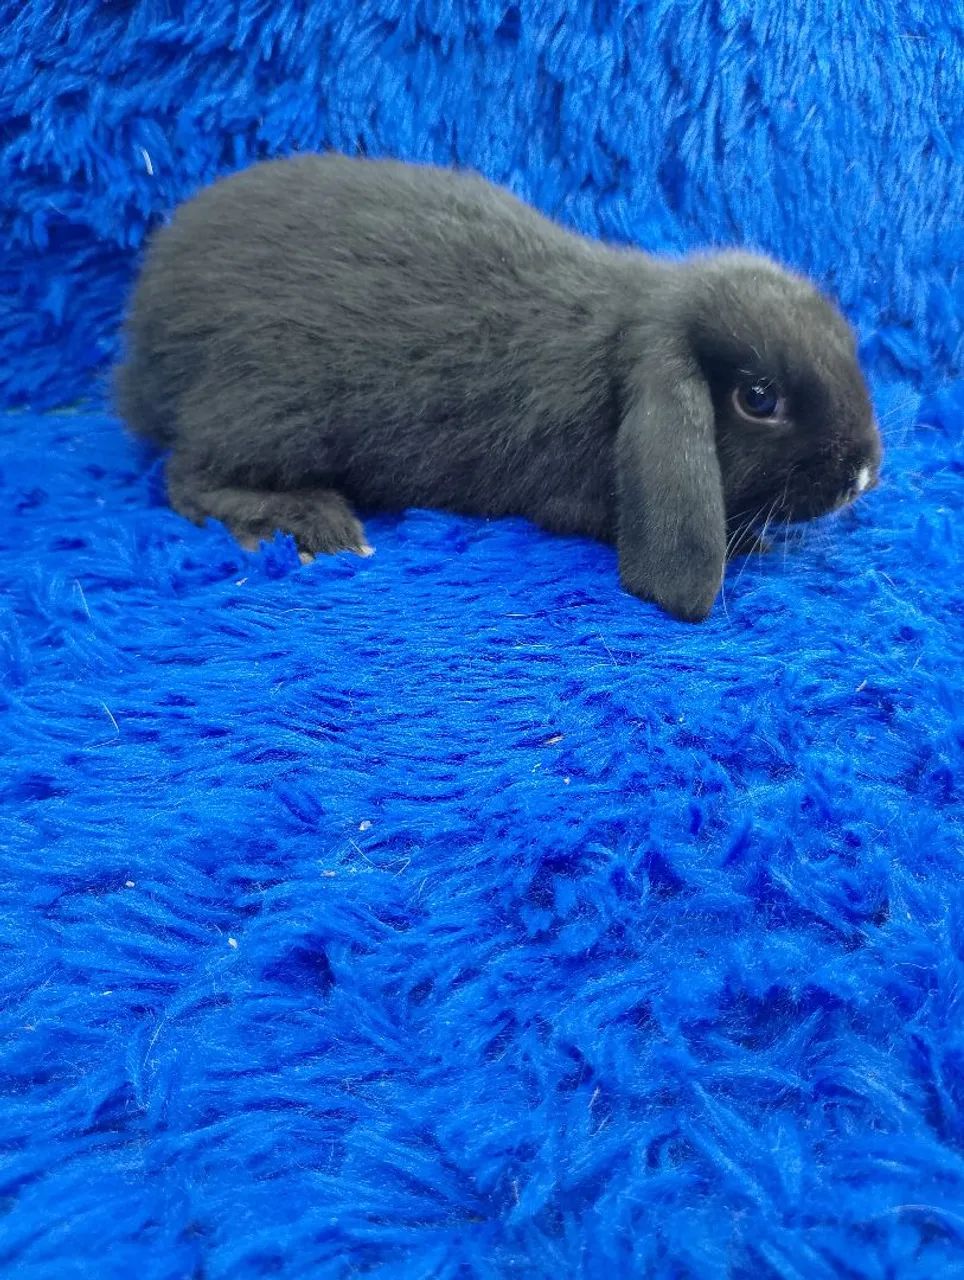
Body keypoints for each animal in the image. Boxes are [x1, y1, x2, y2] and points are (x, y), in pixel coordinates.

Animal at [115, 152, 881, 621]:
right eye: (759, 399)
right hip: (270, 414)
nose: (865, 472)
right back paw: (316, 526)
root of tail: (145, 338)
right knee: (188, 479)